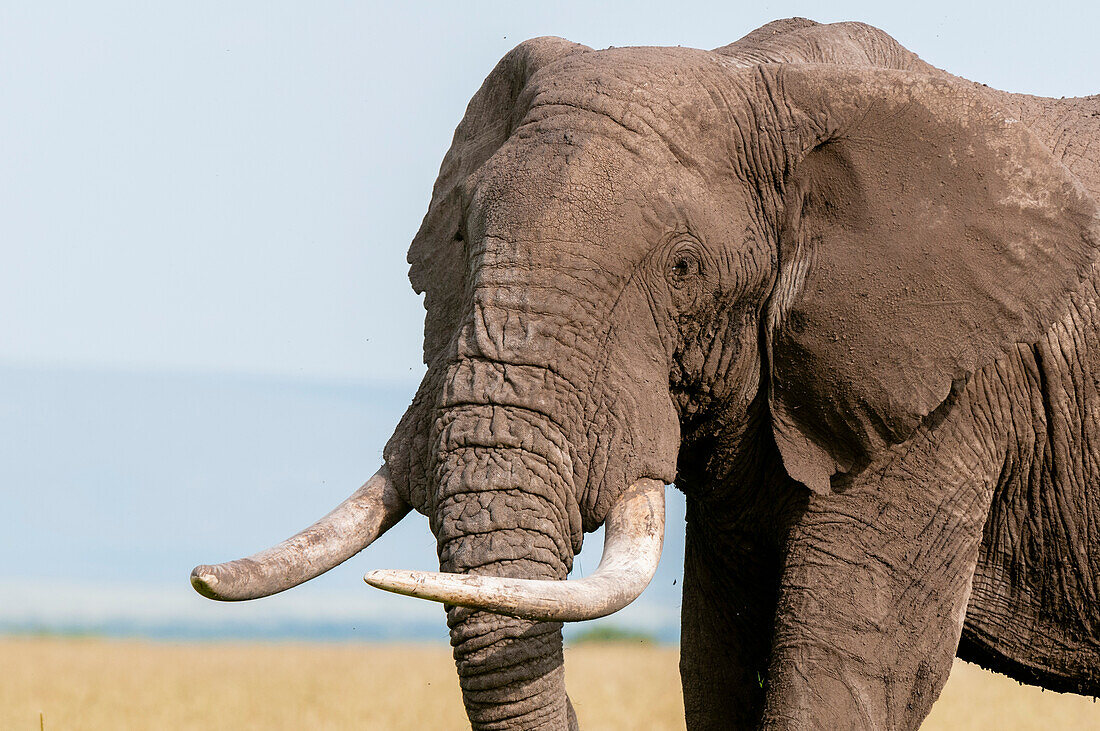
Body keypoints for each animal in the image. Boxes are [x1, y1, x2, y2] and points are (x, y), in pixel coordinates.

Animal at [191, 17, 1100, 729]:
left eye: (684, 268)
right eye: (460, 238)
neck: (769, 76)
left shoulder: (943, 405)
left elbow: (847, 674)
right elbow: (718, 664)